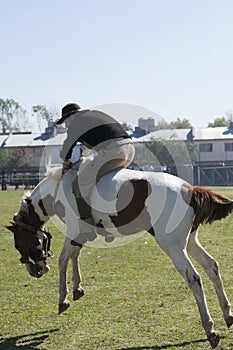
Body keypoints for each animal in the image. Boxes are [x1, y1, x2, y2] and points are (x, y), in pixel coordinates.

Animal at [4, 166, 233, 348]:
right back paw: (227, 314)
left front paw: (63, 298)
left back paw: (210, 330)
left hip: (173, 246)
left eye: (18, 243)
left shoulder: (72, 233)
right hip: (190, 242)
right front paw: (77, 287)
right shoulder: (79, 235)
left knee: (194, 278)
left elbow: (63, 261)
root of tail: (190, 190)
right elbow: (75, 256)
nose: (35, 270)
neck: (58, 189)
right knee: (212, 267)